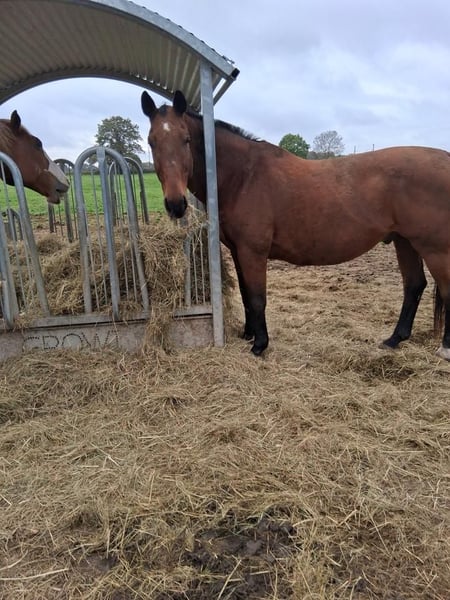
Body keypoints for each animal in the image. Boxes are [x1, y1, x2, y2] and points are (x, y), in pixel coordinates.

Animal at [141, 90, 450, 361]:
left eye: (186, 139)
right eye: (152, 141)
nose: (176, 204)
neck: (244, 176)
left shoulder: (253, 252)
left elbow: (257, 297)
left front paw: (260, 345)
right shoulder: (239, 252)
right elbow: (245, 294)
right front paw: (248, 334)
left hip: (433, 248)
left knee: (444, 289)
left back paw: (444, 349)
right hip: (405, 241)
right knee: (414, 285)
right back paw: (394, 339)